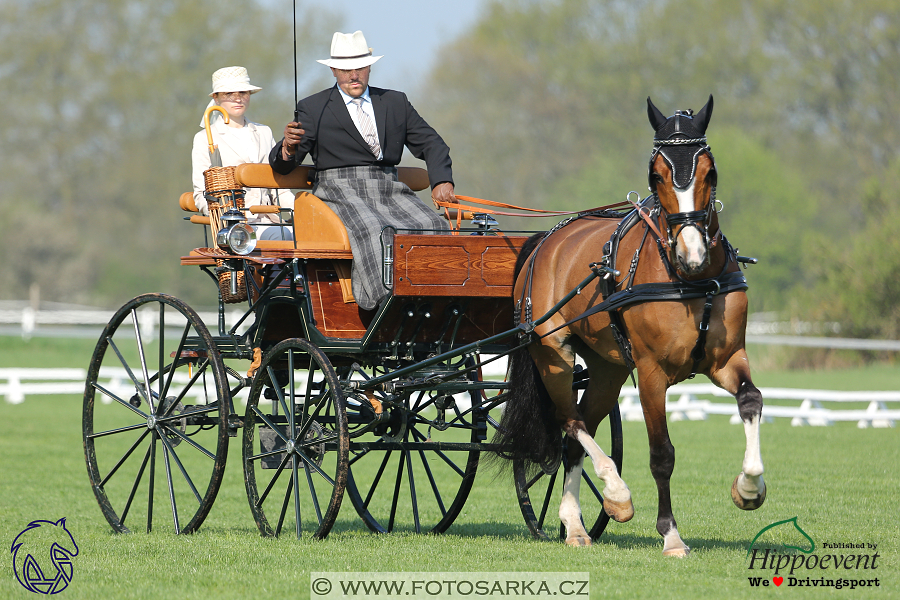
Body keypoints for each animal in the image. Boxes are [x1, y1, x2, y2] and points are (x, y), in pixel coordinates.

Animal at [496, 96, 764, 556]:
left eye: (710, 171)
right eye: (655, 175)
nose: (692, 252)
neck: (690, 280)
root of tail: (545, 241)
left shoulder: (728, 359)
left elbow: (751, 400)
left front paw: (748, 487)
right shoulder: (653, 373)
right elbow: (662, 454)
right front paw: (671, 535)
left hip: (607, 369)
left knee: (575, 437)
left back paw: (576, 524)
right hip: (553, 355)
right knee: (571, 423)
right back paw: (615, 495)